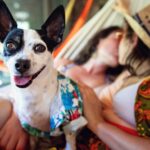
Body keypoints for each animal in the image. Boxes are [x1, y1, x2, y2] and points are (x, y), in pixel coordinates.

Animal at [0, 0, 86, 149]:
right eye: (10, 45)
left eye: (39, 48)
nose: (21, 63)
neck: (32, 92)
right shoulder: (30, 129)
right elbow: (32, 141)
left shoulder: (70, 121)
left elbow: (70, 138)